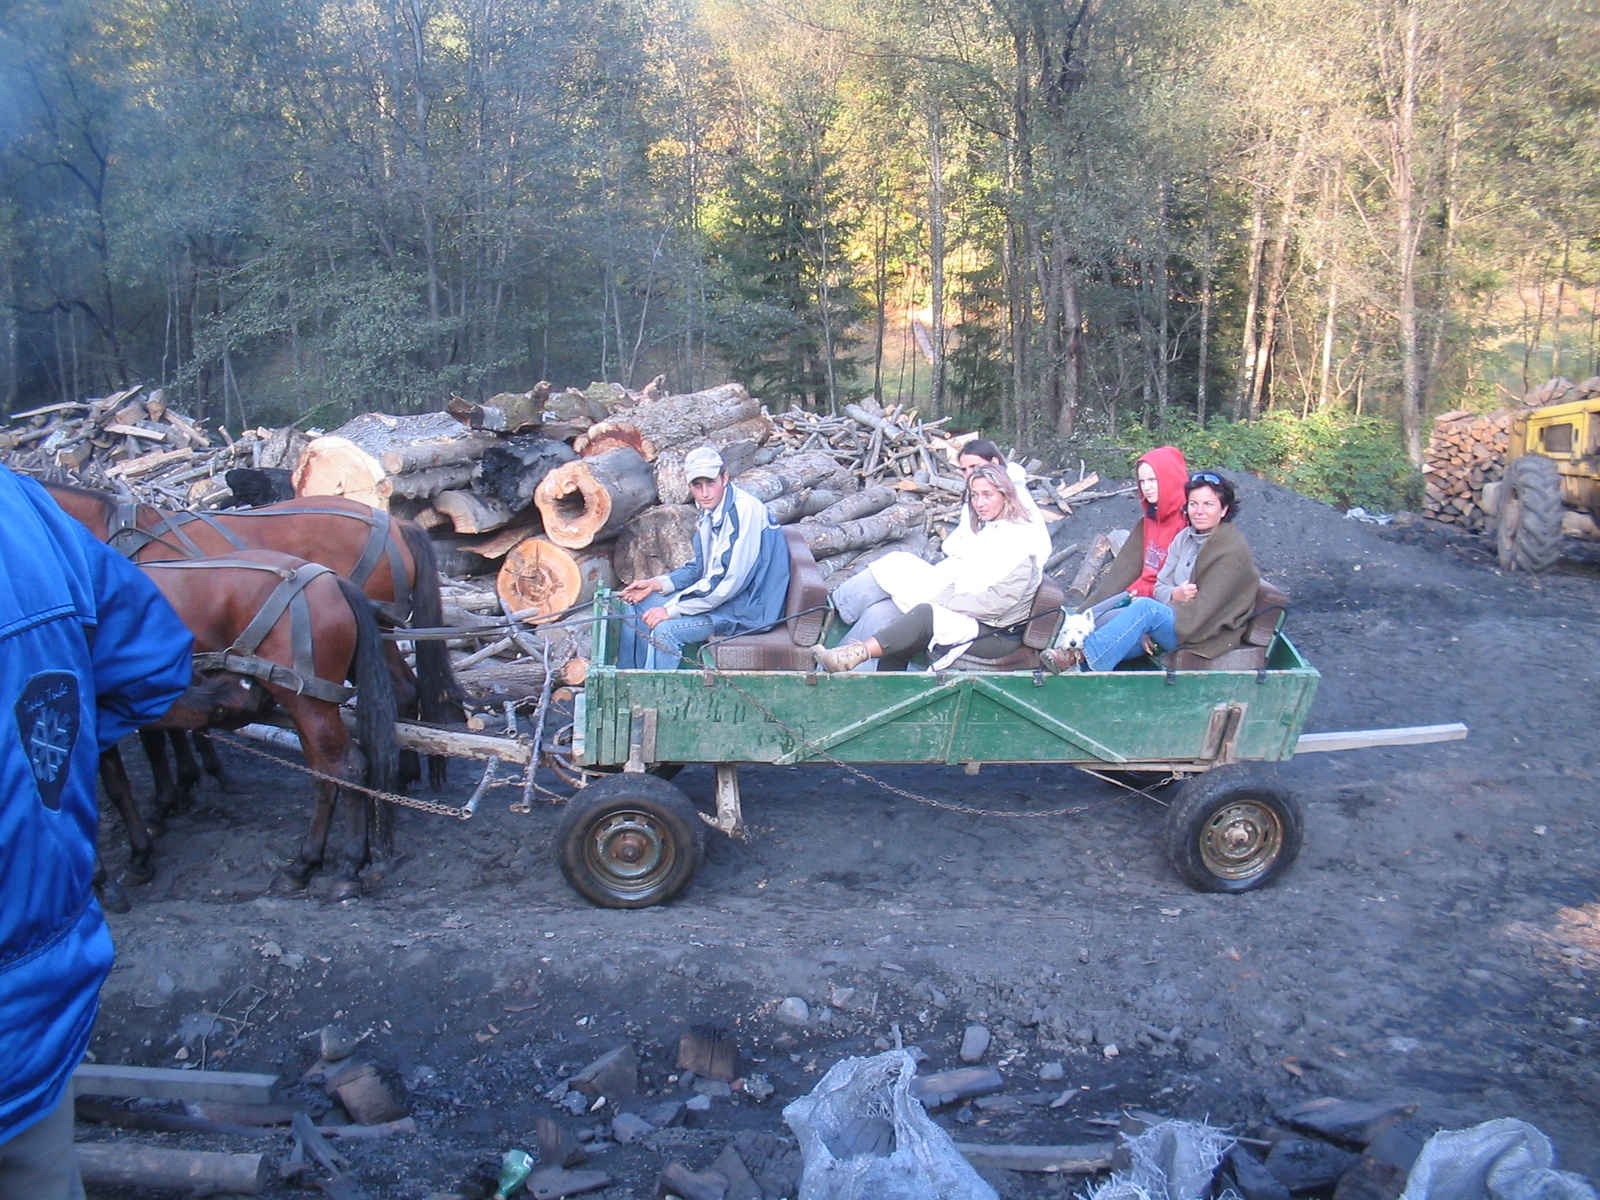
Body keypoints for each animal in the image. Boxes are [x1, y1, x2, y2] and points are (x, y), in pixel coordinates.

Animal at [100, 550, 400, 896]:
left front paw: (139, 851)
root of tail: (332, 580)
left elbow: (117, 784)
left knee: (348, 768)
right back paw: (303, 864)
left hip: (311, 706)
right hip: (304, 706)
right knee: (323, 777)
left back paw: (349, 868)